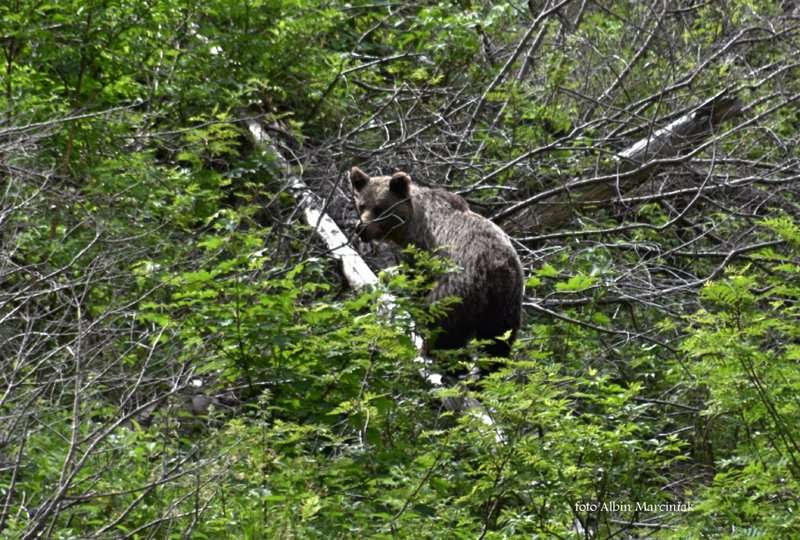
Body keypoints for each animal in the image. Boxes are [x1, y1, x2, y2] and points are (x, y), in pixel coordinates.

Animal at [350, 165, 524, 358]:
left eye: (380, 208)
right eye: (361, 205)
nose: (362, 228)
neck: (410, 223)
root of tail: (496, 268)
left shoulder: (422, 247)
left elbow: (416, 277)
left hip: (459, 286)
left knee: (441, 322)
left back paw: (429, 350)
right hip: (506, 301)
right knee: (498, 340)